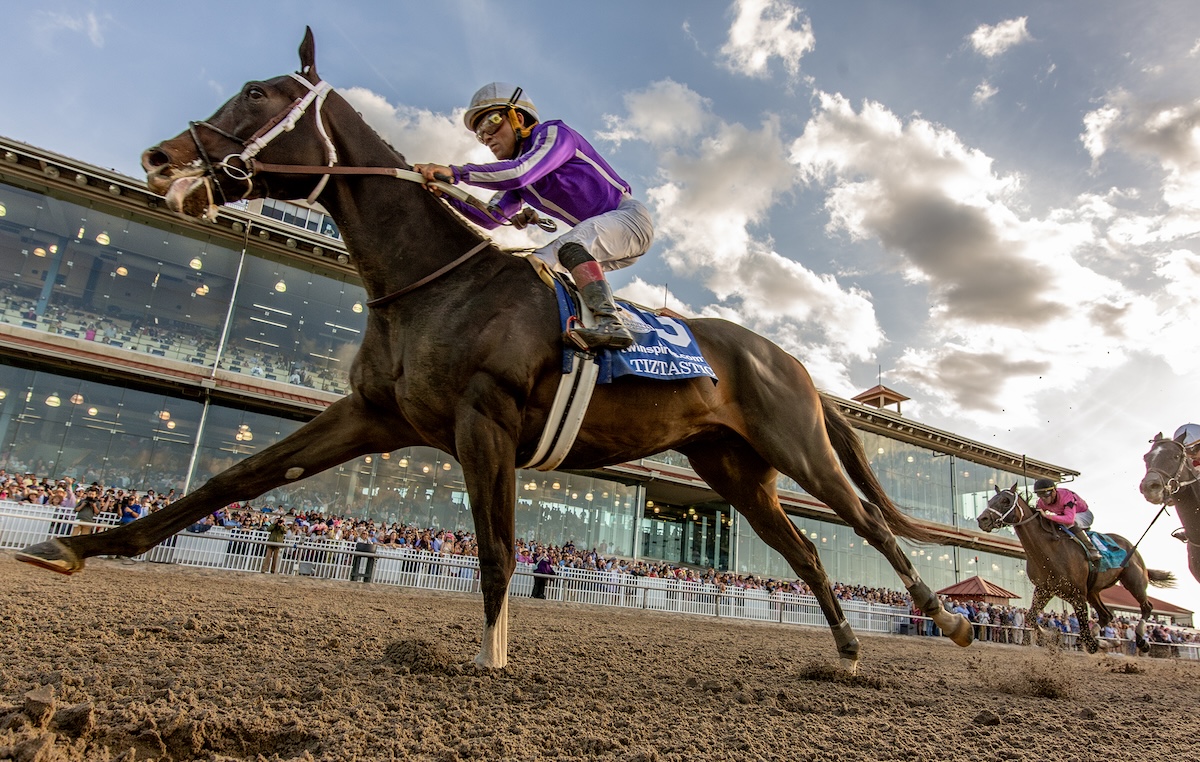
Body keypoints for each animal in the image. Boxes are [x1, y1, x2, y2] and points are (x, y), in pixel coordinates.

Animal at [16, 28, 974, 672]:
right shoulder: (374, 414)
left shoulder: (488, 420)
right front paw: (78, 547)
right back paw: (847, 651)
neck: (431, 281)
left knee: (865, 526)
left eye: (258, 92)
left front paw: (492, 659)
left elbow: (498, 546)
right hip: (733, 469)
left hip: (796, 446)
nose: (159, 157)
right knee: (808, 551)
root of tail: (792, 361)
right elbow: (235, 479)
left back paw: (948, 617)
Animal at [974, 484, 1171, 652]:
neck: (1048, 549)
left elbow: (1085, 632)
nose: (982, 519)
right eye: (990, 501)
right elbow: (1030, 616)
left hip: (1133, 581)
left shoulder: (1077, 594)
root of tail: (1131, 546)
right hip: (1093, 591)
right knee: (1106, 615)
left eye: (1005, 500)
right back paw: (1107, 640)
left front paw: (1095, 643)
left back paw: (1141, 641)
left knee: (1146, 607)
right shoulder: (1045, 589)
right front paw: (1051, 633)